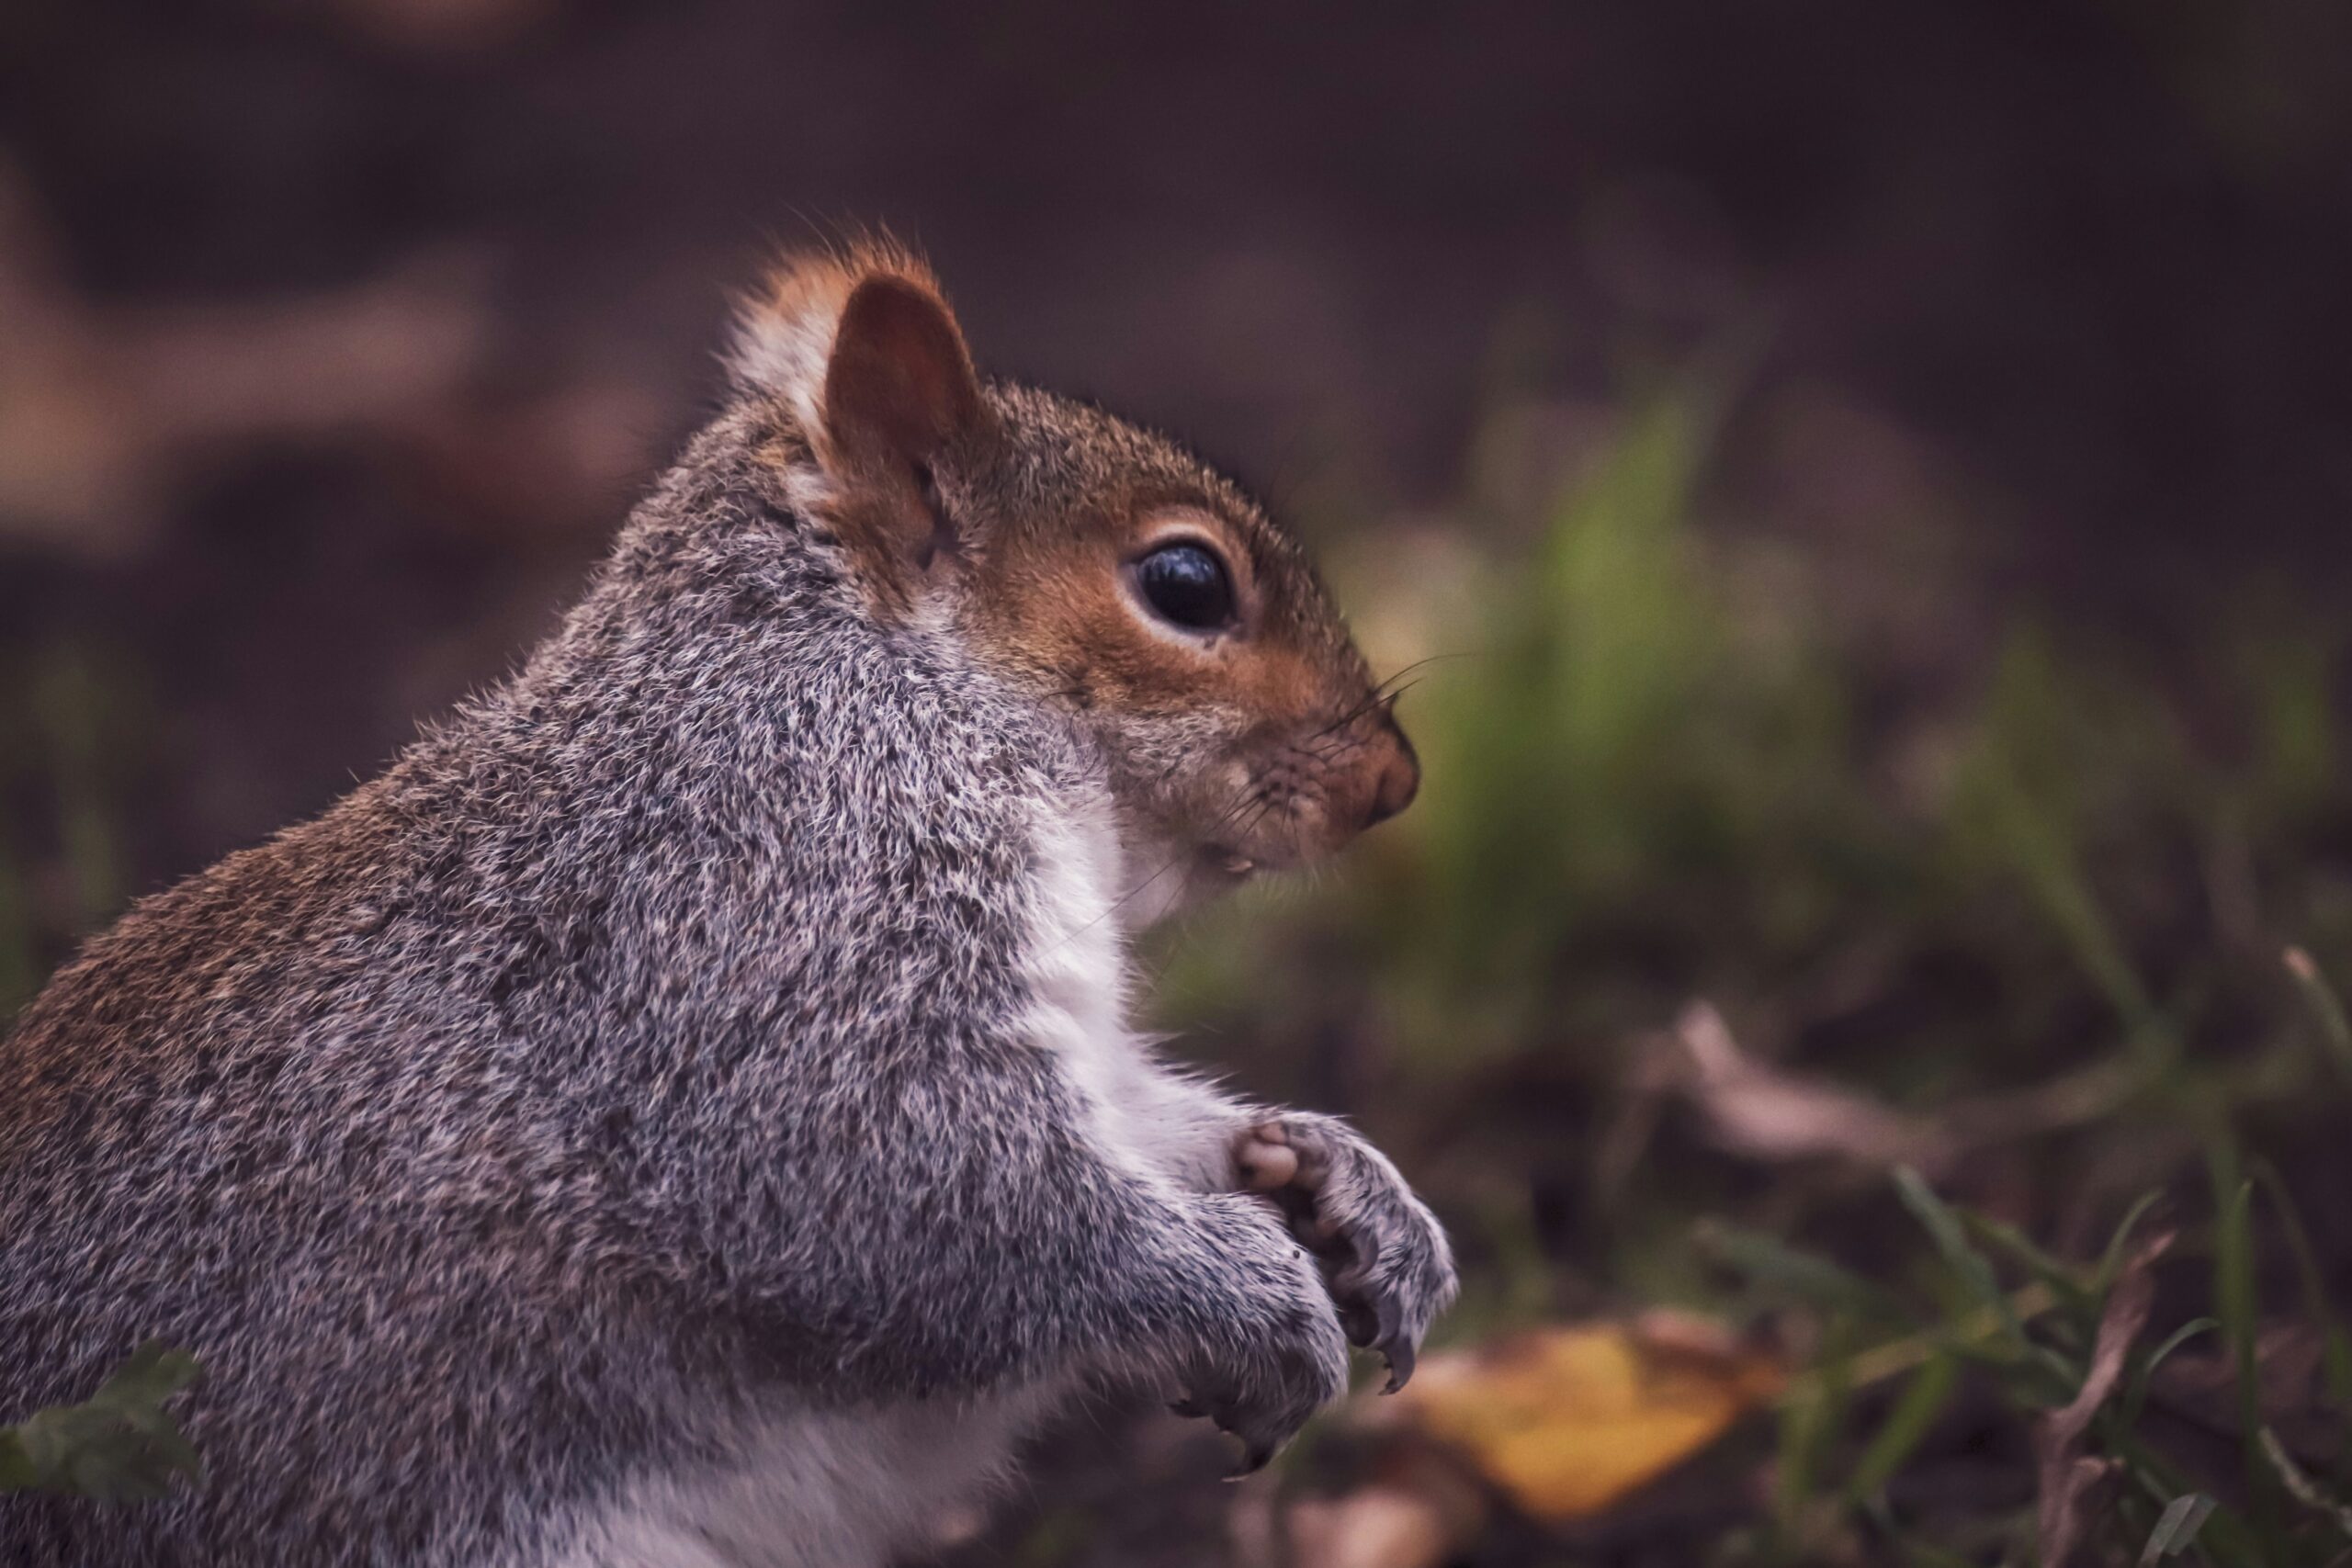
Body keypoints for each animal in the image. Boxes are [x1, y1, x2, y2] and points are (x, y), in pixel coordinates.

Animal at [0, 243, 1456, 1568]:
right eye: (1185, 584)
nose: (1395, 780)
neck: (889, 685)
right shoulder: (772, 912)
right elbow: (911, 1182)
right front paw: (1248, 1295)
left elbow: (1137, 1119)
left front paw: (1340, 1181)